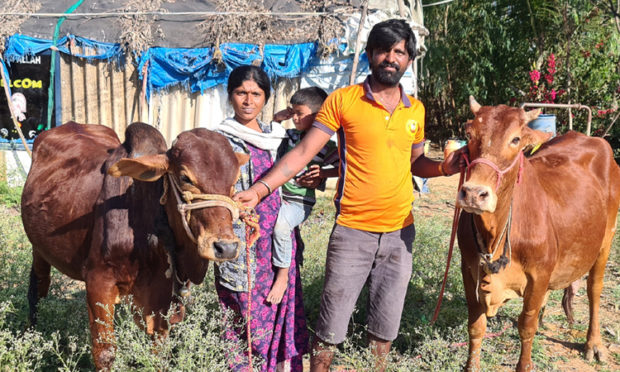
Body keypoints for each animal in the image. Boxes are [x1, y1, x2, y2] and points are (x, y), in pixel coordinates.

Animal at [21, 121, 249, 370]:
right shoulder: (98, 282)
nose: (226, 248)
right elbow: (105, 353)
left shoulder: (161, 297)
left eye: (234, 182)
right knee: (38, 289)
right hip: (38, 249)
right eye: (185, 177)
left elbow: (159, 353)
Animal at [456, 98, 620, 372]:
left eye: (515, 139)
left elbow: (526, 327)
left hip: (606, 240)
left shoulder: (539, 275)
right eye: (468, 134)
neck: (494, 234)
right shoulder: (468, 269)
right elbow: (476, 326)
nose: (473, 193)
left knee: (594, 289)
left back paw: (593, 343)